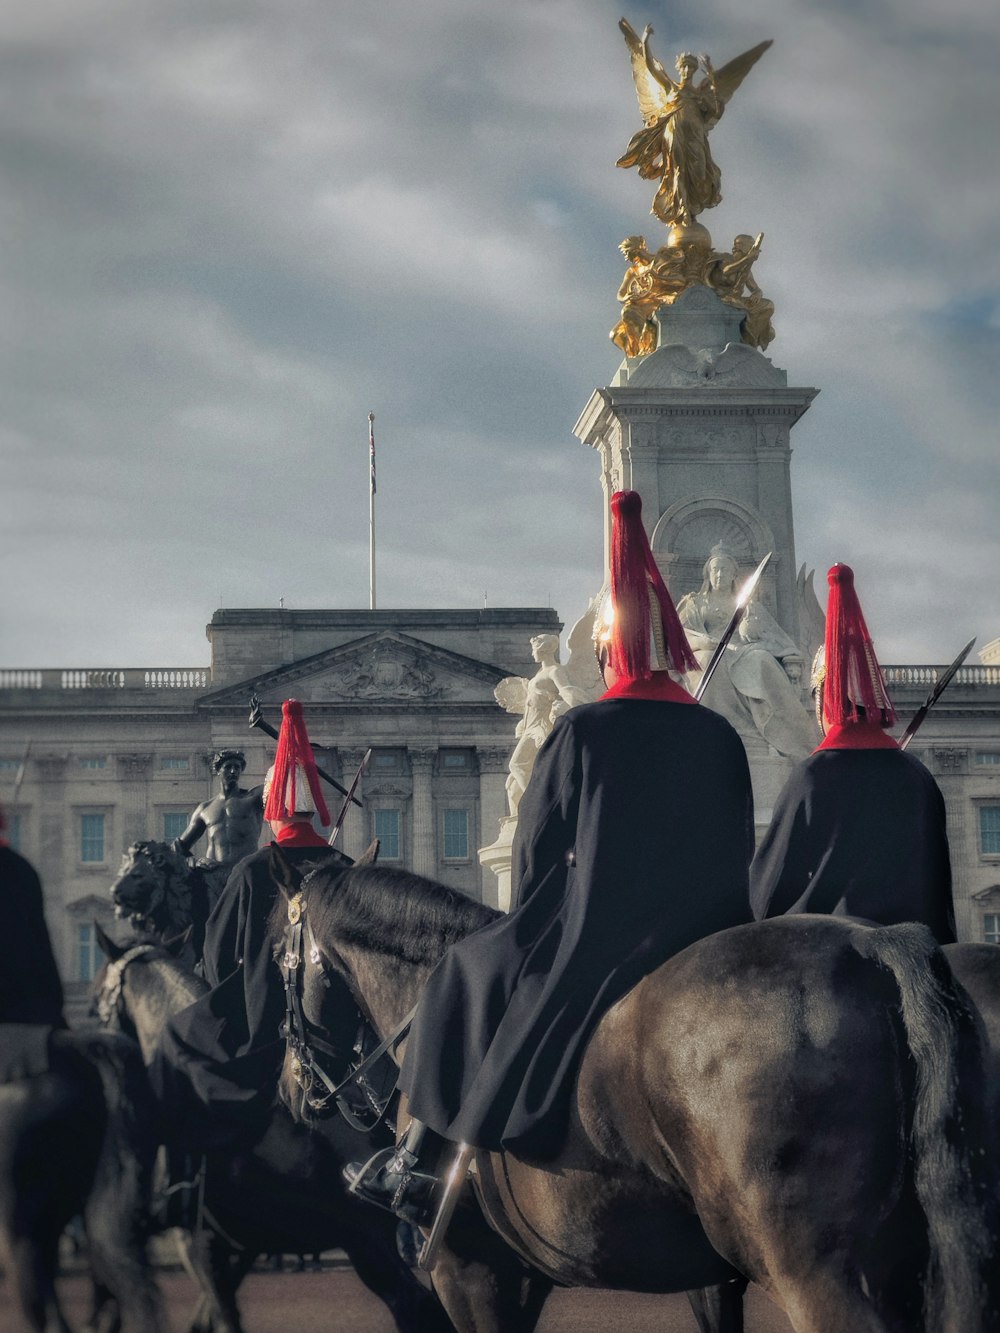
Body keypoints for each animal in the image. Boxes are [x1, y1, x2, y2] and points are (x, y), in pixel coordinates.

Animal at [94, 933, 453, 1333]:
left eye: (97, 996)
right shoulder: (237, 1245)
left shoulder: (200, 1243)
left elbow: (223, 1317)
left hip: (365, 1243)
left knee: (414, 1305)